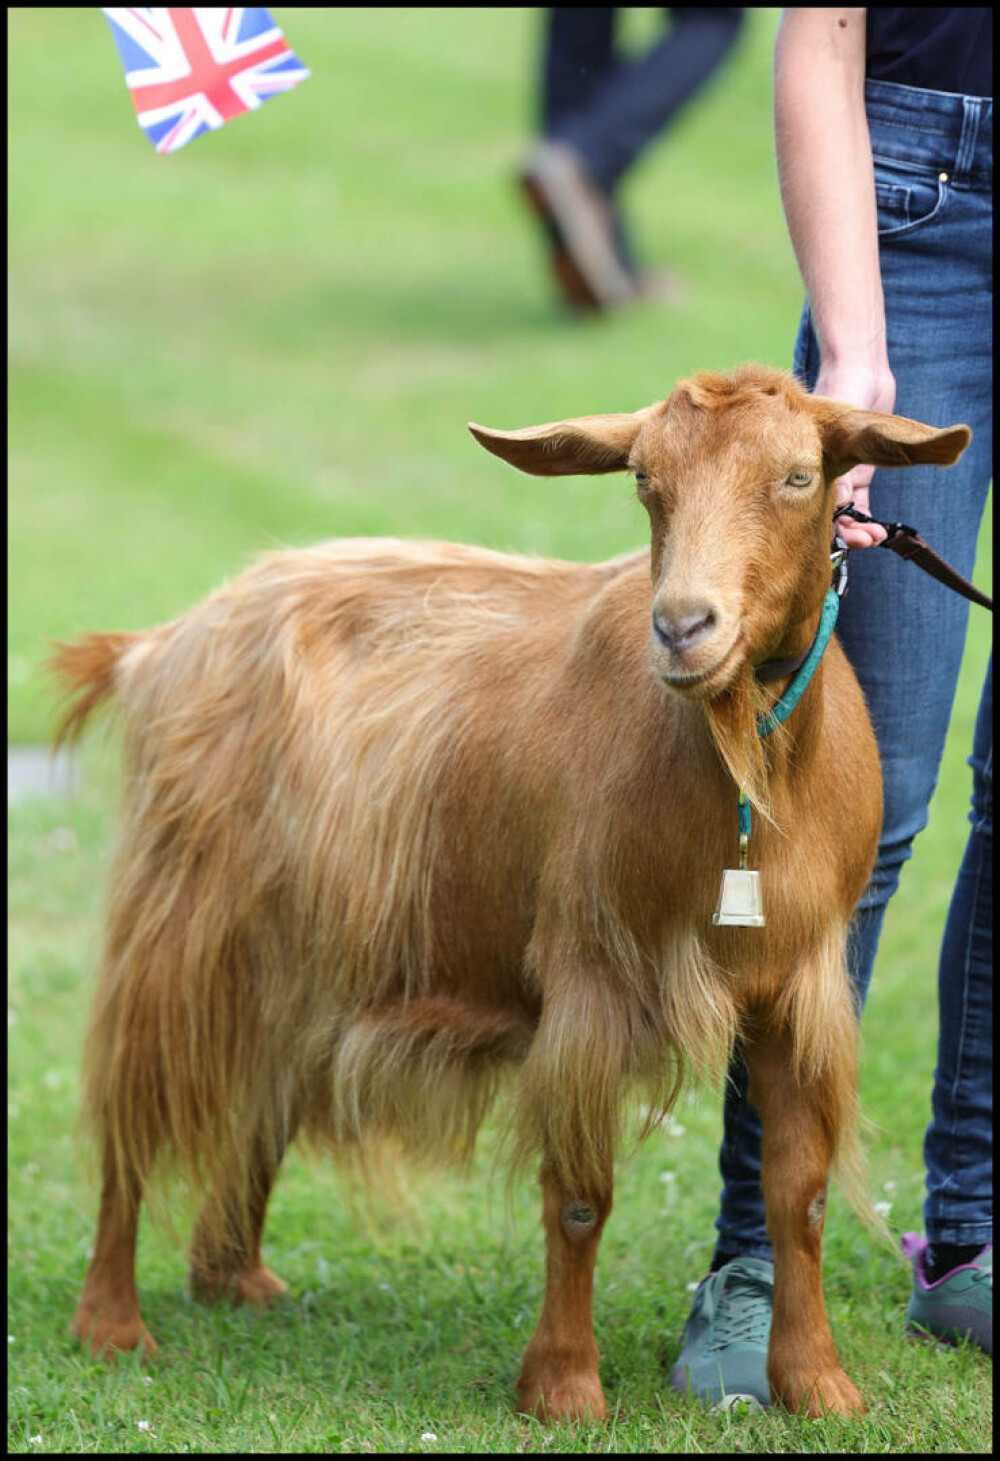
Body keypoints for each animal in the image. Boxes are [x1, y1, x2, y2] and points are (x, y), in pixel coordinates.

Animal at [54, 362, 970, 1414]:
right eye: (645, 480)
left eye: (798, 477)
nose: (683, 627)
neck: (745, 773)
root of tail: (156, 647)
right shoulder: (588, 975)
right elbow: (579, 1196)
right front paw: (564, 1386)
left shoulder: (798, 983)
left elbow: (800, 1192)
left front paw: (818, 1382)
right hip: (181, 915)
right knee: (133, 1108)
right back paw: (112, 1324)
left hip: (306, 941)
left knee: (264, 1085)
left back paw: (232, 1275)